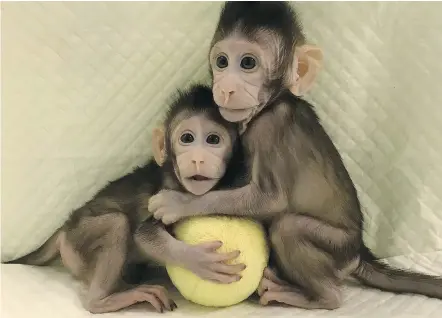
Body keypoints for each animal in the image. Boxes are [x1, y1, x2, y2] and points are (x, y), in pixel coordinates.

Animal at [10, 84, 247, 314]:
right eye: (187, 138)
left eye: (213, 140)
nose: (198, 159)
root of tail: (65, 227)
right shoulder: (164, 193)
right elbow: (144, 234)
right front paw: (198, 260)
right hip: (79, 237)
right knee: (116, 222)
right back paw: (104, 300)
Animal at [148, 0, 442, 310]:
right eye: (222, 62)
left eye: (248, 63)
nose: (226, 88)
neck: (272, 102)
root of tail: (359, 252)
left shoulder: (269, 127)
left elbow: (270, 199)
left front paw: (179, 202)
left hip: (337, 247)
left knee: (289, 228)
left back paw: (316, 295)